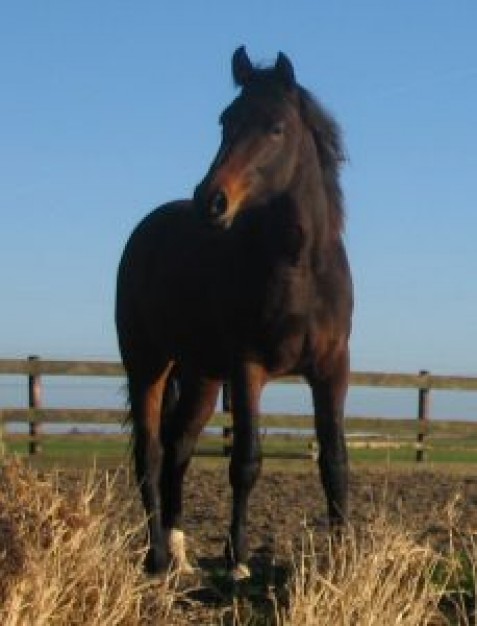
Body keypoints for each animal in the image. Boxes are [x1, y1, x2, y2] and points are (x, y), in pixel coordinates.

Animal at [115, 46, 352, 576]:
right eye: (225, 121)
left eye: (276, 127)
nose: (211, 199)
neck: (299, 267)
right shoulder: (249, 369)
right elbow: (246, 462)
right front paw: (238, 560)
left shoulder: (332, 370)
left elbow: (334, 461)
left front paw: (343, 559)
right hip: (147, 365)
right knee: (150, 454)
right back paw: (156, 556)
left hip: (202, 377)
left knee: (179, 449)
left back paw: (179, 553)